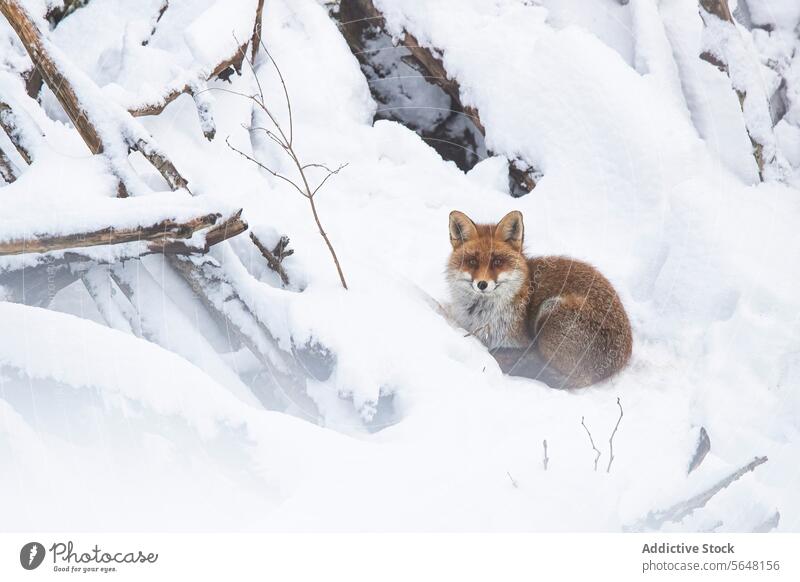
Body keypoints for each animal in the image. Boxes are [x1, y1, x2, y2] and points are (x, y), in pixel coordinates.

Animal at [444, 212, 632, 390]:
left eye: (497, 261)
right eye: (472, 261)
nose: (482, 284)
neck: (480, 315)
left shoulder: (518, 341)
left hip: (550, 311)